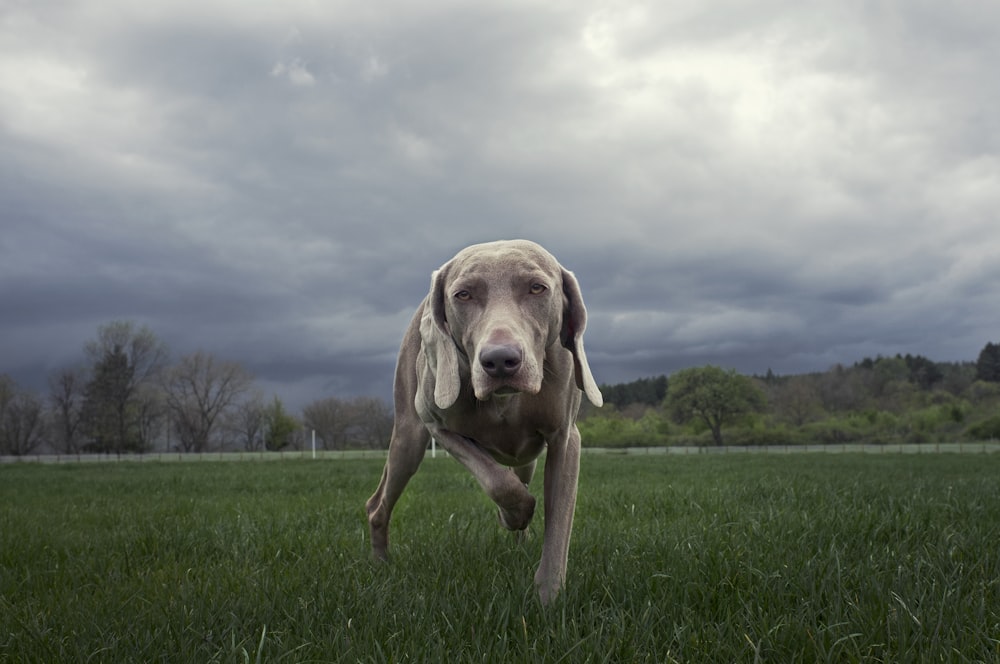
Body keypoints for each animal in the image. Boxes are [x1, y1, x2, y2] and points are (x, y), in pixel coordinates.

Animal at [368, 241, 600, 604]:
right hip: (409, 435)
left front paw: (548, 598)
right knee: (378, 504)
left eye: (537, 288)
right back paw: (380, 563)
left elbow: (559, 521)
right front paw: (513, 513)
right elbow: (497, 482)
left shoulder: (564, 437)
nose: (501, 361)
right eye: (463, 294)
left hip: (527, 458)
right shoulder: (438, 425)